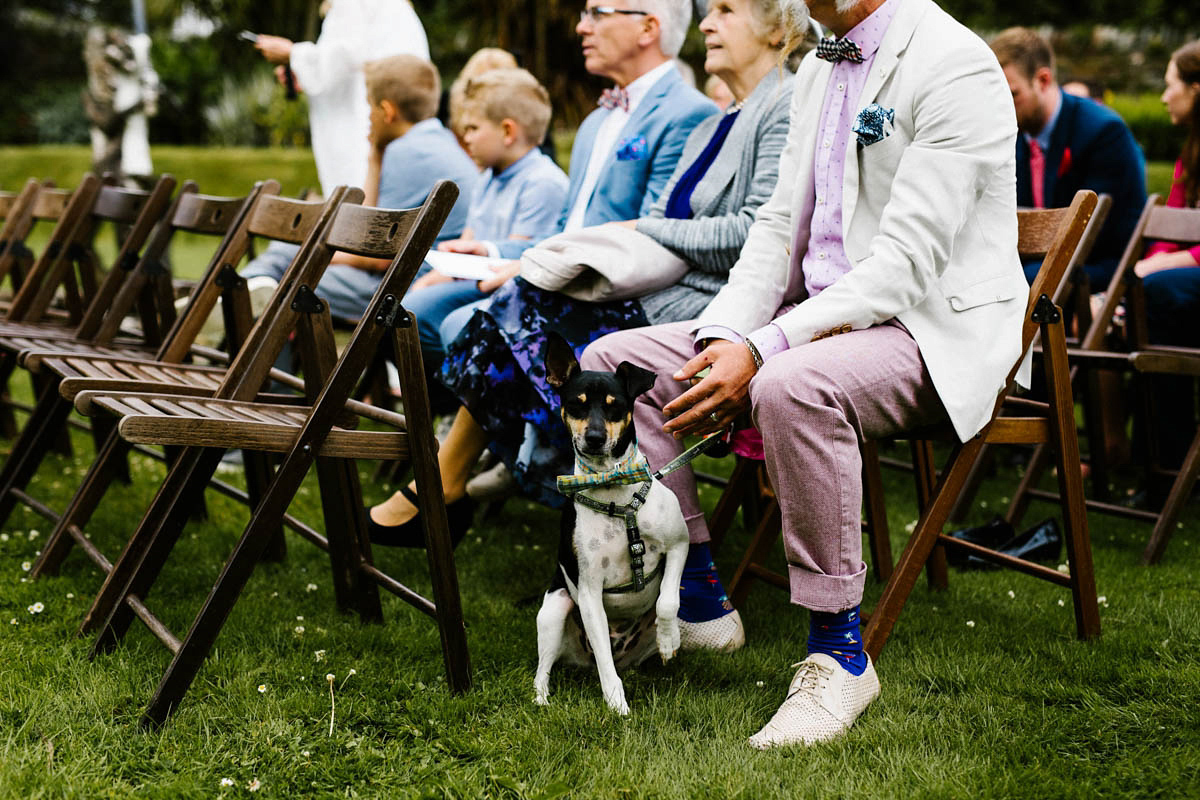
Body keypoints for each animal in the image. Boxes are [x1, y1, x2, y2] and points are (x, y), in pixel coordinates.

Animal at [532, 331, 691, 714]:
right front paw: (617, 705)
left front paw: (668, 641)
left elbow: (667, 601)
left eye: (614, 405)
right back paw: (542, 699)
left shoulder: (680, 544)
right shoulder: (589, 592)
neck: (613, 489)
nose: (594, 437)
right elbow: (605, 662)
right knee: (547, 668)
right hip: (554, 609)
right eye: (576, 404)